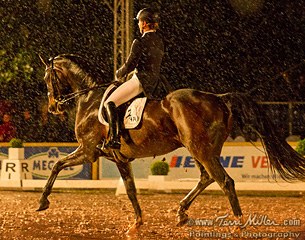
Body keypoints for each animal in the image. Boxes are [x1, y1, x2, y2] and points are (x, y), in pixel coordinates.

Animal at [37, 54, 304, 234]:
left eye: (48, 78)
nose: (53, 107)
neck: (90, 99)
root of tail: (219, 98)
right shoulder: (118, 158)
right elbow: (131, 190)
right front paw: (136, 224)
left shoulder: (88, 151)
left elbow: (57, 166)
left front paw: (42, 202)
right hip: (201, 149)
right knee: (207, 178)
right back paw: (182, 212)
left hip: (200, 149)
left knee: (224, 181)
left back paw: (239, 225)